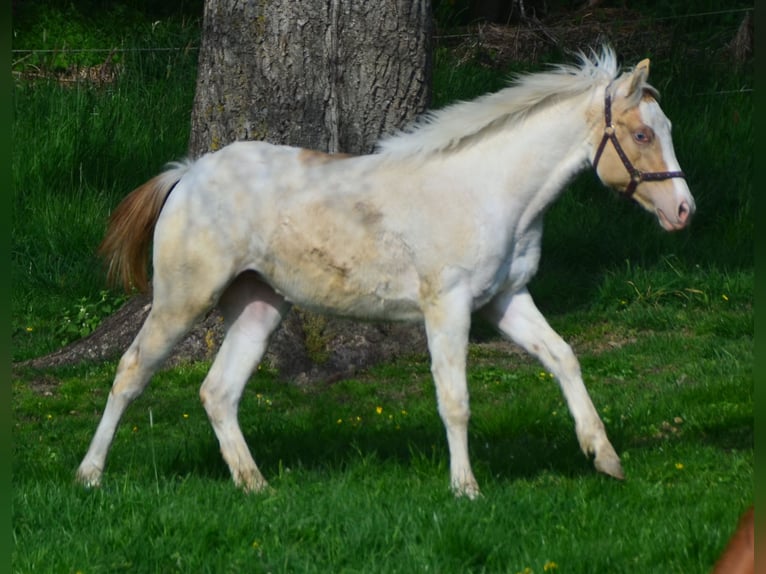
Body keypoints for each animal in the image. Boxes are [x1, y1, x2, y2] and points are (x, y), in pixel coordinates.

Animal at [76, 46, 696, 500]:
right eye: (642, 134)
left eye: (665, 128)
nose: (684, 210)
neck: (487, 190)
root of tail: (188, 173)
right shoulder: (447, 306)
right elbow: (454, 397)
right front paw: (465, 489)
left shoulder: (506, 299)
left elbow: (563, 356)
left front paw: (605, 457)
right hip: (182, 299)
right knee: (131, 372)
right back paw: (90, 475)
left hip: (259, 307)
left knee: (218, 392)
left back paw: (256, 485)